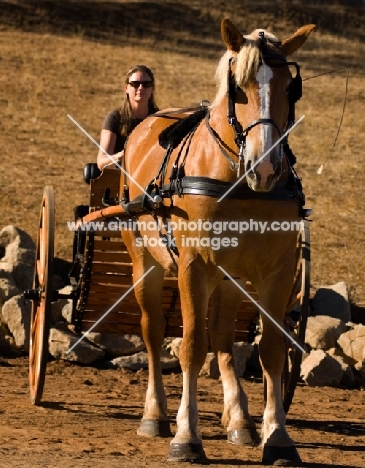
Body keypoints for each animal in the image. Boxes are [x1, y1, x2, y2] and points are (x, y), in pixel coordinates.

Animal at [121, 17, 314, 464]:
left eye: (290, 88)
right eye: (238, 88)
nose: (266, 167)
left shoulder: (279, 272)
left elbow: (271, 350)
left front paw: (277, 436)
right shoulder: (194, 266)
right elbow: (192, 345)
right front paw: (186, 436)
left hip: (230, 279)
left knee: (224, 337)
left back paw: (240, 420)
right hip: (144, 261)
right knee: (154, 331)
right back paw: (155, 413)